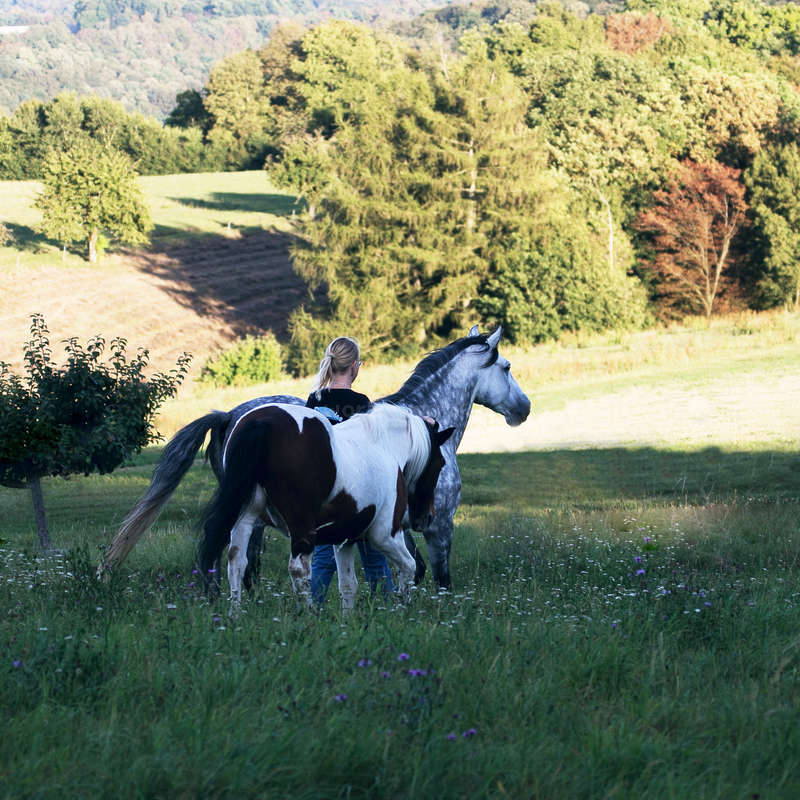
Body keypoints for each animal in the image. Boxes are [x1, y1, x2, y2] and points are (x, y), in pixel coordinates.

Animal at [101, 325, 530, 589]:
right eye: (507, 366)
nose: (523, 408)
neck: (418, 425)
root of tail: (230, 416)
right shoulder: (438, 526)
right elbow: (438, 578)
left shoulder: (390, 526)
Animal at [198, 402, 453, 610]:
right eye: (440, 463)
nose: (427, 518)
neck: (384, 446)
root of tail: (262, 421)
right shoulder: (385, 535)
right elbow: (410, 567)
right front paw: (401, 610)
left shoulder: (345, 541)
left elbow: (349, 586)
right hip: (302, 529)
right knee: (299, 570)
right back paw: (308, 618)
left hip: (245, 517)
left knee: (236, 561)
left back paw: (234, 617)